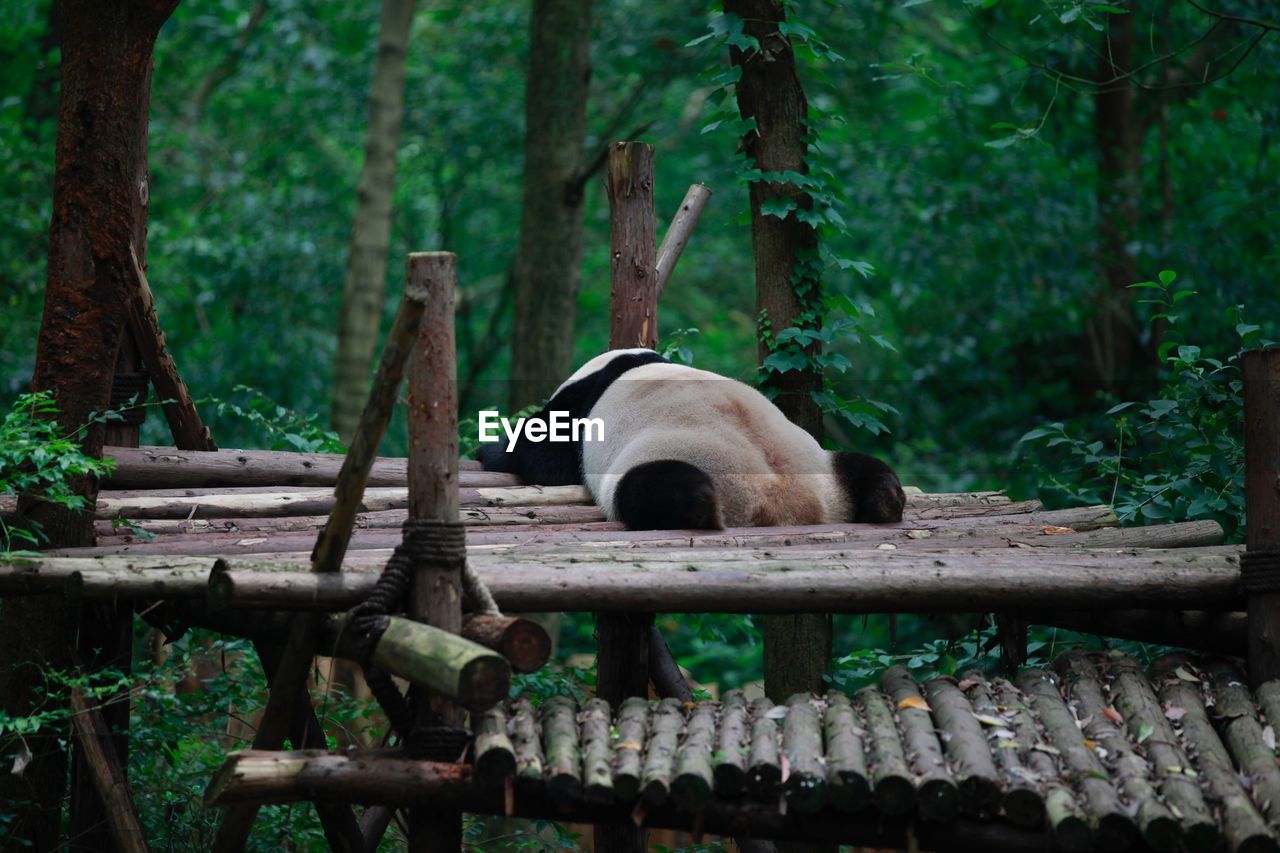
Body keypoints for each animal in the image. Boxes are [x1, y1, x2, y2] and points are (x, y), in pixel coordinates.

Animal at [476, 348, 906, 527]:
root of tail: (788, 505)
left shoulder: (582, 405)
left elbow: (546, 456)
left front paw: (491, 450)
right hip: (824, 467)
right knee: (865, 467)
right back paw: (886, 501)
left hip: (667, 459)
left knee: (655, 487)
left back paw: (700, 509)